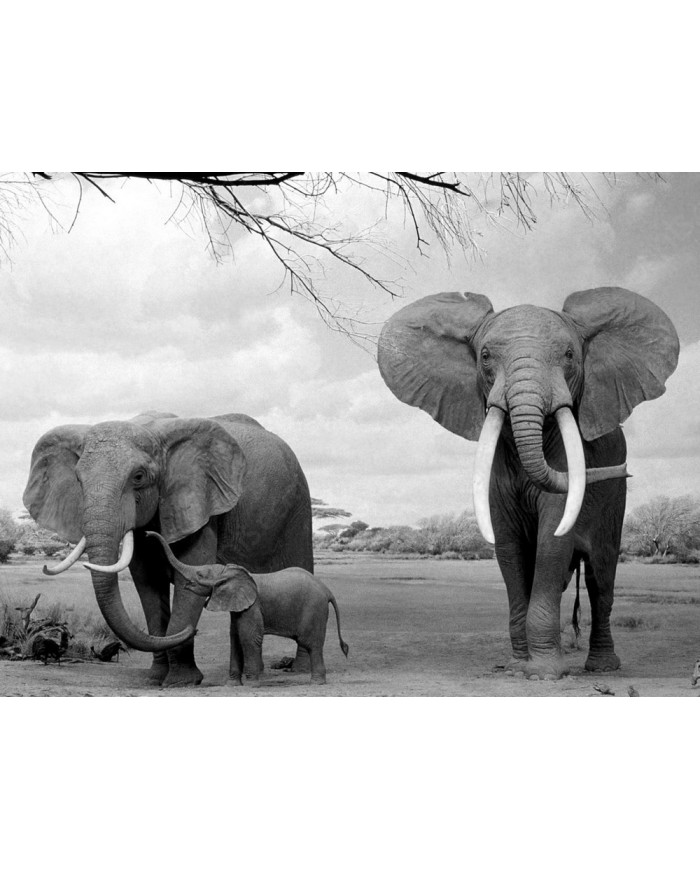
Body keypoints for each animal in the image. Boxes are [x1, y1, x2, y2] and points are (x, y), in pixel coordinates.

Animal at [23, 411, 313, 686]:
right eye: (78, 480)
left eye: (138, 477)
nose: (193, 630)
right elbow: (147, 583)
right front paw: (155, 679)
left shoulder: (200, 504)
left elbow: (189, 575)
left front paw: (180, 682)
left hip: (299, 506)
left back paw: (299, 669)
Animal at [146, 530, 349, 685]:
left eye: (200, 574)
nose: (147, 534)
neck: (229, 572)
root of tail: (327, 590)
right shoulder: (238, 607)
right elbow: (235, 639)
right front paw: (232, 684)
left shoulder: (253, 606)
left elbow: (249, 638)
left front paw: (251, 684)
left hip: (314, 609)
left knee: (311, 644)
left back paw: (316, 682)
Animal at [378, 287, 679, 679]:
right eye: (485, 356)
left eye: (569, 355)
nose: (625, 469)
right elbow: (508, 547)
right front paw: (516, 667)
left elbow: (552, 542)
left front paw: (543, 674)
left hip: (615, 501)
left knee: (601, 579)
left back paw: (602, 668)